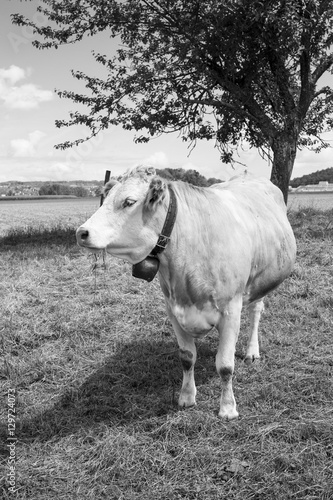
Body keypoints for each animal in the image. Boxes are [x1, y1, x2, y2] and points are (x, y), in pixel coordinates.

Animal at [77, 166, 296, 420]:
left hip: (260, 283)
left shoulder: (231, 310)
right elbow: (187, 358)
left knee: (256, 312)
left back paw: (252, 351)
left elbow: (225, 365)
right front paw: (186, 397)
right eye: (105, 199)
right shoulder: (173, 310)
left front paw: (227, 408)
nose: (81, 232)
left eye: (129, 201)